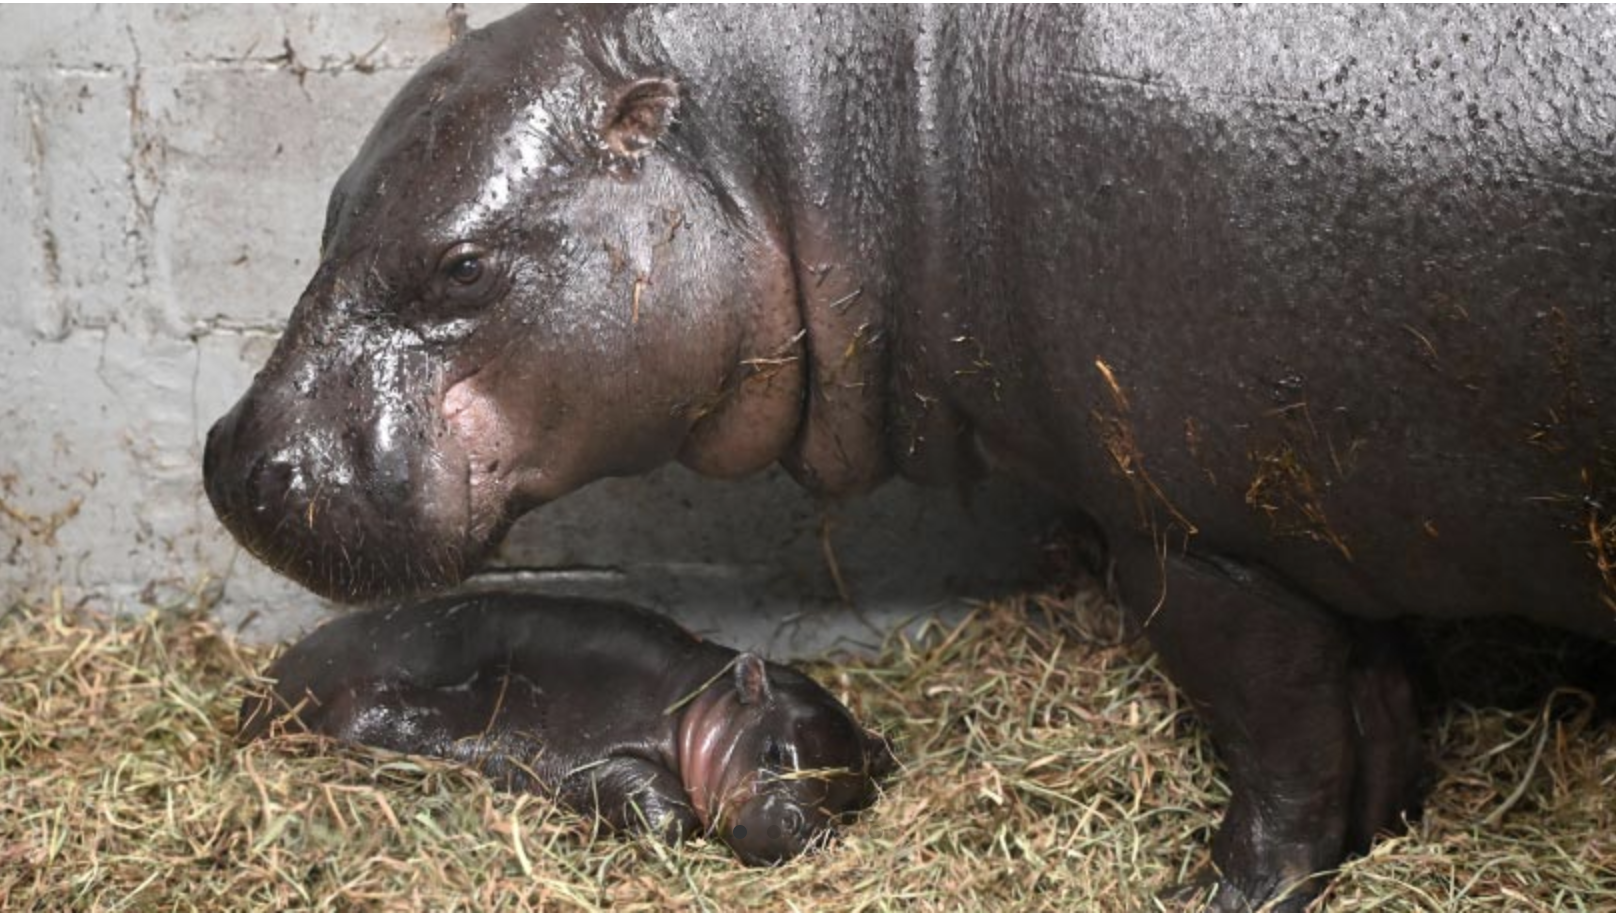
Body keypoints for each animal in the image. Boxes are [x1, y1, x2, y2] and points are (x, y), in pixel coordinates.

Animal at [235, 591, 898, 866]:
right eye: (778, 750)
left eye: (852, 795)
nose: (802, 826)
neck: (699, 708)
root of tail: (265, 691)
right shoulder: (601, 750)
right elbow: (664, 807)